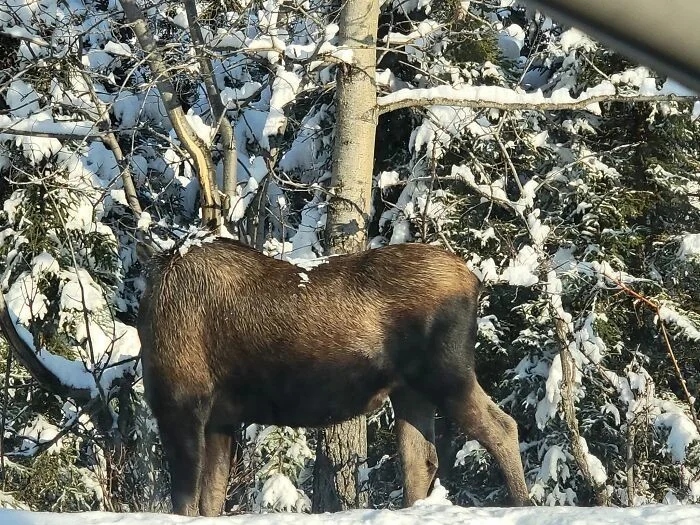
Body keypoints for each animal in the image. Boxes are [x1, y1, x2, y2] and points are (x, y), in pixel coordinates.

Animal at [137, 237, 532, 516]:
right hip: (410, 391)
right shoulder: (221, 418)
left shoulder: (181, 403)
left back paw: (522, 504)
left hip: (446, 373)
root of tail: (474, 281)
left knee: (502, 426)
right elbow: (211, 498)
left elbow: (186, 499)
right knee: (421, 459)